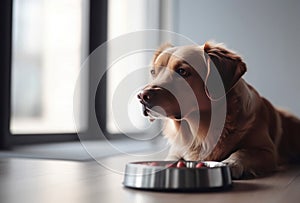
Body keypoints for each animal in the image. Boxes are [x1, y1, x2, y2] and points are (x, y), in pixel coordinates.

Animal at [137, 41, 300, 179]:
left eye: (182, 71)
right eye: (153, 72)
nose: (142, 96)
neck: (200, 130)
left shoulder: (267, 150)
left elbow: (242, 152)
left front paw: (230, 163)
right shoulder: (176, 150)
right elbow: (171, 158)